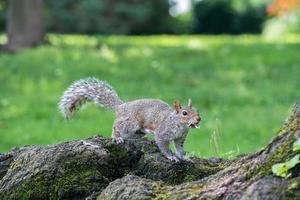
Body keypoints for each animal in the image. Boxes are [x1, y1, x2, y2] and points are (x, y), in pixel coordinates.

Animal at [58, 77, 202, 162]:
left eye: (197, 110)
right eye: (184, 113)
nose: (199, 119)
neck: (179, 125)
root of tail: (121, 106)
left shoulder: (180, 138)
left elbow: (180, 148)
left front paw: (185, 157)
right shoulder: (162, 133)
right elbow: (163, 146)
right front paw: (171, 156)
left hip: (137, 132)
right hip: (130, 124)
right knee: (116, 126)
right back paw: (117, 137)